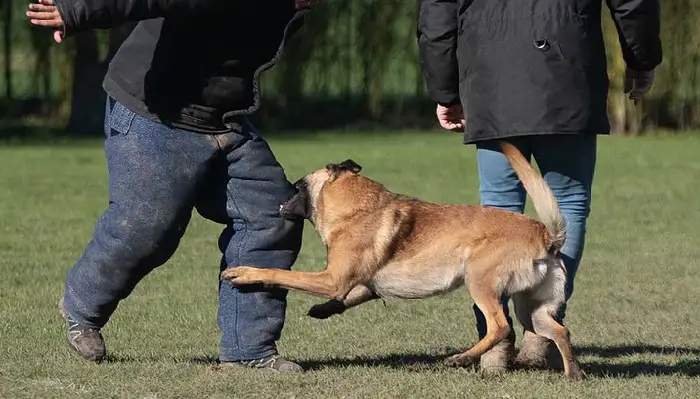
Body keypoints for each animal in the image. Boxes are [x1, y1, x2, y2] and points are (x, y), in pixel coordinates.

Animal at [221, 141, 584, 382]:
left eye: (297, 187)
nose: (279, 199)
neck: (358, 206)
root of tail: (546, 235)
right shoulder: (358, 282)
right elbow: (351, 295)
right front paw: (323, 309)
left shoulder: (331, 278)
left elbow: (279, 272)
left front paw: (244, 273)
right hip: (532, 308)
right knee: (558, 330)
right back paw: (573, 374)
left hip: (479, 281)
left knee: (500, 327)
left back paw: (460, 358)